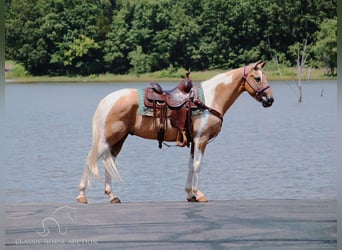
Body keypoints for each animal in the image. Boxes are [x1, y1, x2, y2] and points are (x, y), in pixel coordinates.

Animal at [76, 60, 274, 203]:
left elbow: (190, 165)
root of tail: (108, 99)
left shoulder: (193, 141)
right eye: (257, 78)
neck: (210, 99)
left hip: (118, 140)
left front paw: (189, 194)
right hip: (109, 138)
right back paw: (82, 195)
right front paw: (199, 194)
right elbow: (197, 165)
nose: (270, 100)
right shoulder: (201, 139)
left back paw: (112, 195)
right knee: (90, 159)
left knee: (107, 161)